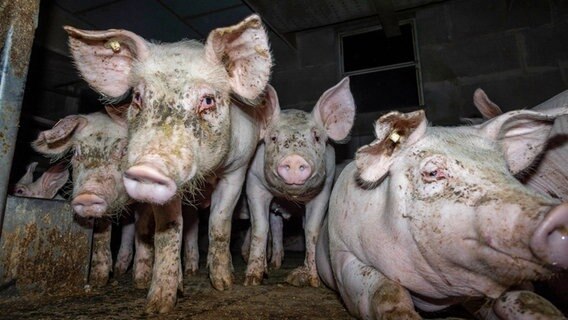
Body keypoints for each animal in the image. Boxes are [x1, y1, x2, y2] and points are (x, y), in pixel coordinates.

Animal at [64, 15, 272, 312]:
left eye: (208, 100)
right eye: (138, 97)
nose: (147, 168)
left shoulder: (237, 169)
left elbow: (219, 225)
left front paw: (224, 284)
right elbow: (169, 233)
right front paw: (158, 304)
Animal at [244, 78, 356, 288]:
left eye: (317, 137)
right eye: (273, 138)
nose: (295, 158)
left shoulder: (324, 188)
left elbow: (312, 230)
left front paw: (314, 281)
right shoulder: (254, 184)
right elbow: (260, 228)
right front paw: (252, 280)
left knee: (278, 226)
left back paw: (278, 265)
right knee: (273, 226)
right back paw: (270, 268)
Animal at [316, 109, 568, 318]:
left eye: (505, 169)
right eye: (432, 172)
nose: (560, 212)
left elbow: (527, 298)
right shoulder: (342, 253)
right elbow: (387, 293)